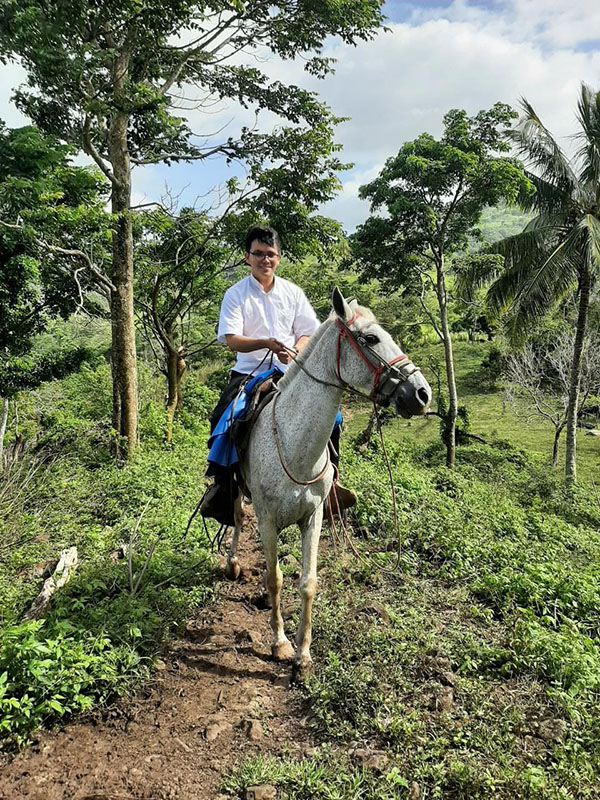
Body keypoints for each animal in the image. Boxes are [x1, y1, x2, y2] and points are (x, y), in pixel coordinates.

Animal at [226, 288, 432, 680]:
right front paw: (280, 642)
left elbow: (307, 583)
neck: (294, 444)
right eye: (371, 338)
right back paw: (230, 563)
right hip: (238, 488)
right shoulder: (268, 519)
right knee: (237, 516)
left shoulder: (314, 515)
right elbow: (275, 578)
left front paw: (303, 655)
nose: (423, 394)